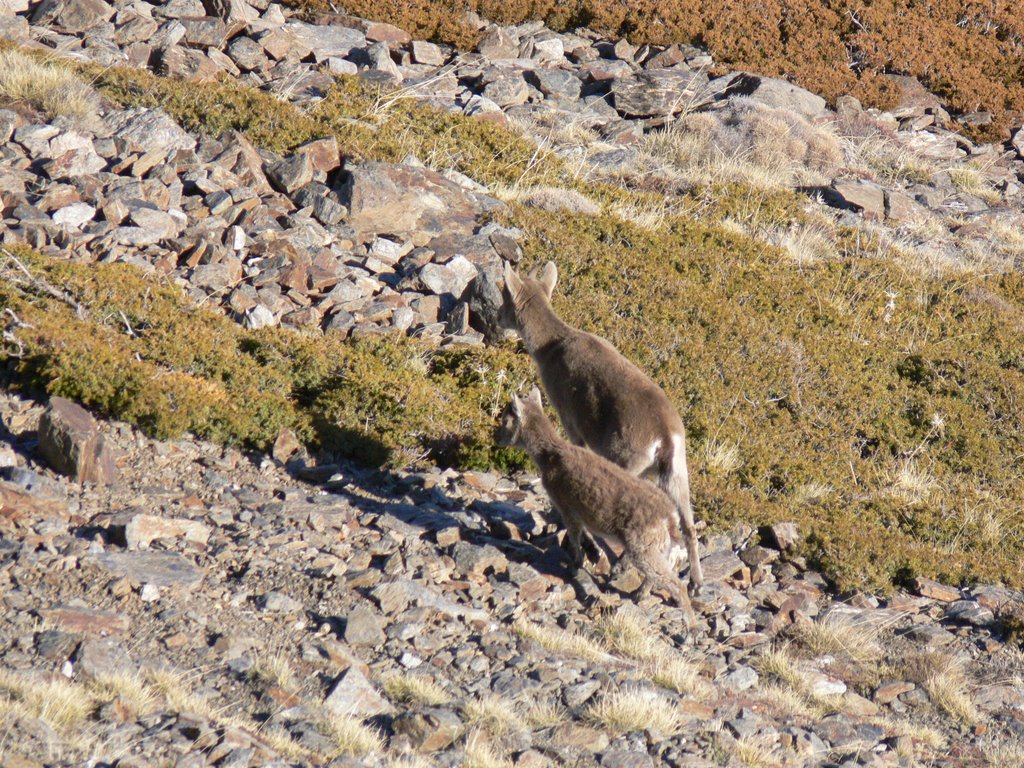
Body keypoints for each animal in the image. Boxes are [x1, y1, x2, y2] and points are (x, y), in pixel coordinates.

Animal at [495, 391, 696, 626]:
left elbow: (574, 536)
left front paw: (575, 565)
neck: (551, 456)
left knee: (676, 584)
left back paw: (690, 626)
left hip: (644, 548)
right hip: (657, 547)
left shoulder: (566, 505)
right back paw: (640, 594)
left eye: (506, 420)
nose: (496, 438)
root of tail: (669, 517)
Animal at [497, 262, 704, 593]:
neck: (551, 346)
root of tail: (664, 438)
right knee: (688, 523)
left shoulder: (571, 422)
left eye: (505, 296)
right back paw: (696, 581)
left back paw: (620, 566)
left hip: (627, 461)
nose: (495, 319)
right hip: (677, 473)